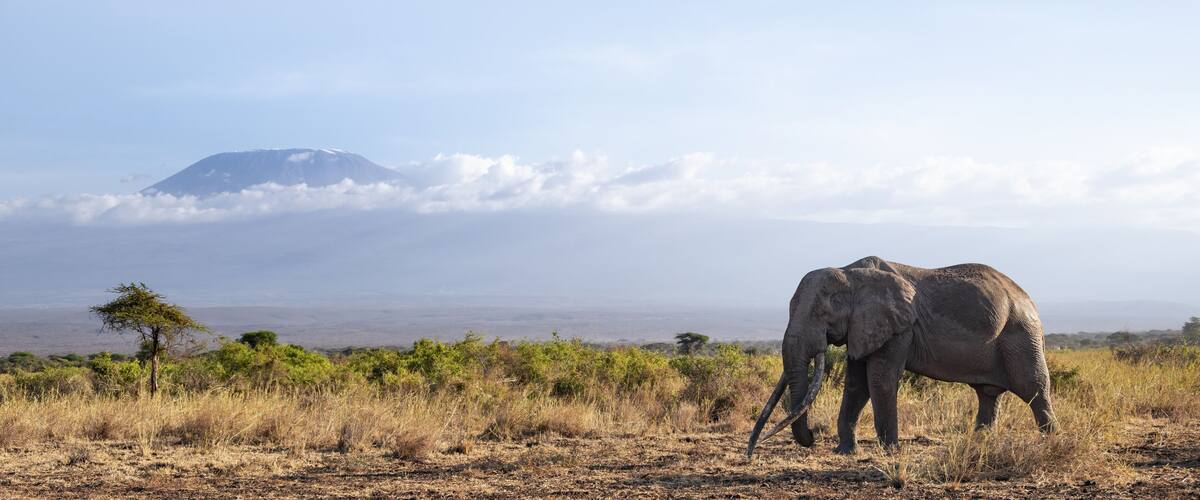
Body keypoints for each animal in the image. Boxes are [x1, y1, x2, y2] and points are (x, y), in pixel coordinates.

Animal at [746, 256, 1056, 457]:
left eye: (823, 313)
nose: (812, 436)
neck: (851, 273)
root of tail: (1031, 301)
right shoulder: (864, 327)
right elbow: (856, 384)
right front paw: (845, 452)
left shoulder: (899, 327)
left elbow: (880, 380)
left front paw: (890, 452)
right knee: (988, 394)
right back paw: (980, 444)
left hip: (1020, 335)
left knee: (1034, 388)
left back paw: (1051, 442)